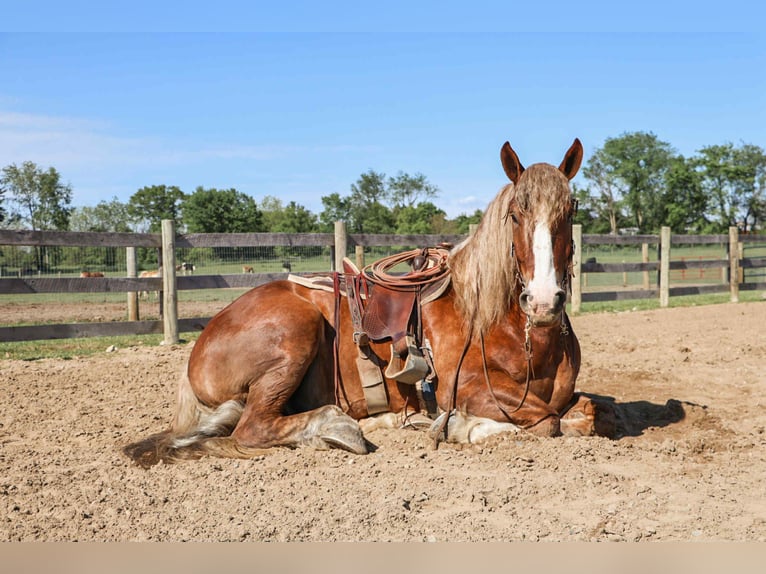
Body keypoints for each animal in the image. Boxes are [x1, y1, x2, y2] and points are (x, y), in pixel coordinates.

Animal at [124, 139, 615, 468]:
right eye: (515, 215)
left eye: (570, 211)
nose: (543, 301)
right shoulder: (469, 389)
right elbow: (546, 421)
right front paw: (461, 426)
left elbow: (589, 414)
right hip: (295, 332)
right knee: (254, 428)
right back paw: (339, 427)